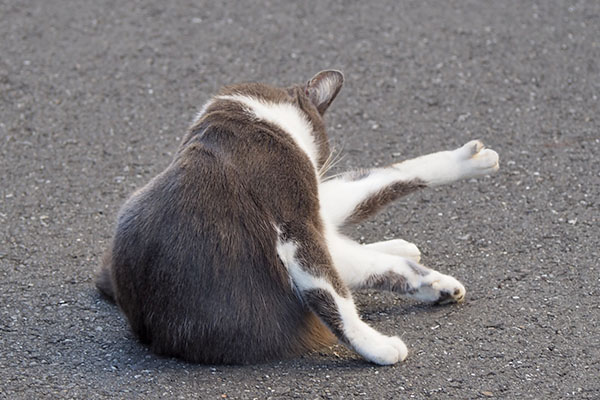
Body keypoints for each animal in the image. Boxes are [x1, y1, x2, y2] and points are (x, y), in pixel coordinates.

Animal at [98, 69, 500, 366]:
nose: (322, 161)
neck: (249, 115)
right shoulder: (294, 223)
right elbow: (336, 299)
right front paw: (375, 347)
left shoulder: (312, 198)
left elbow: (387, 174)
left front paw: (468, 160)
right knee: (357, 269)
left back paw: (421, 265)